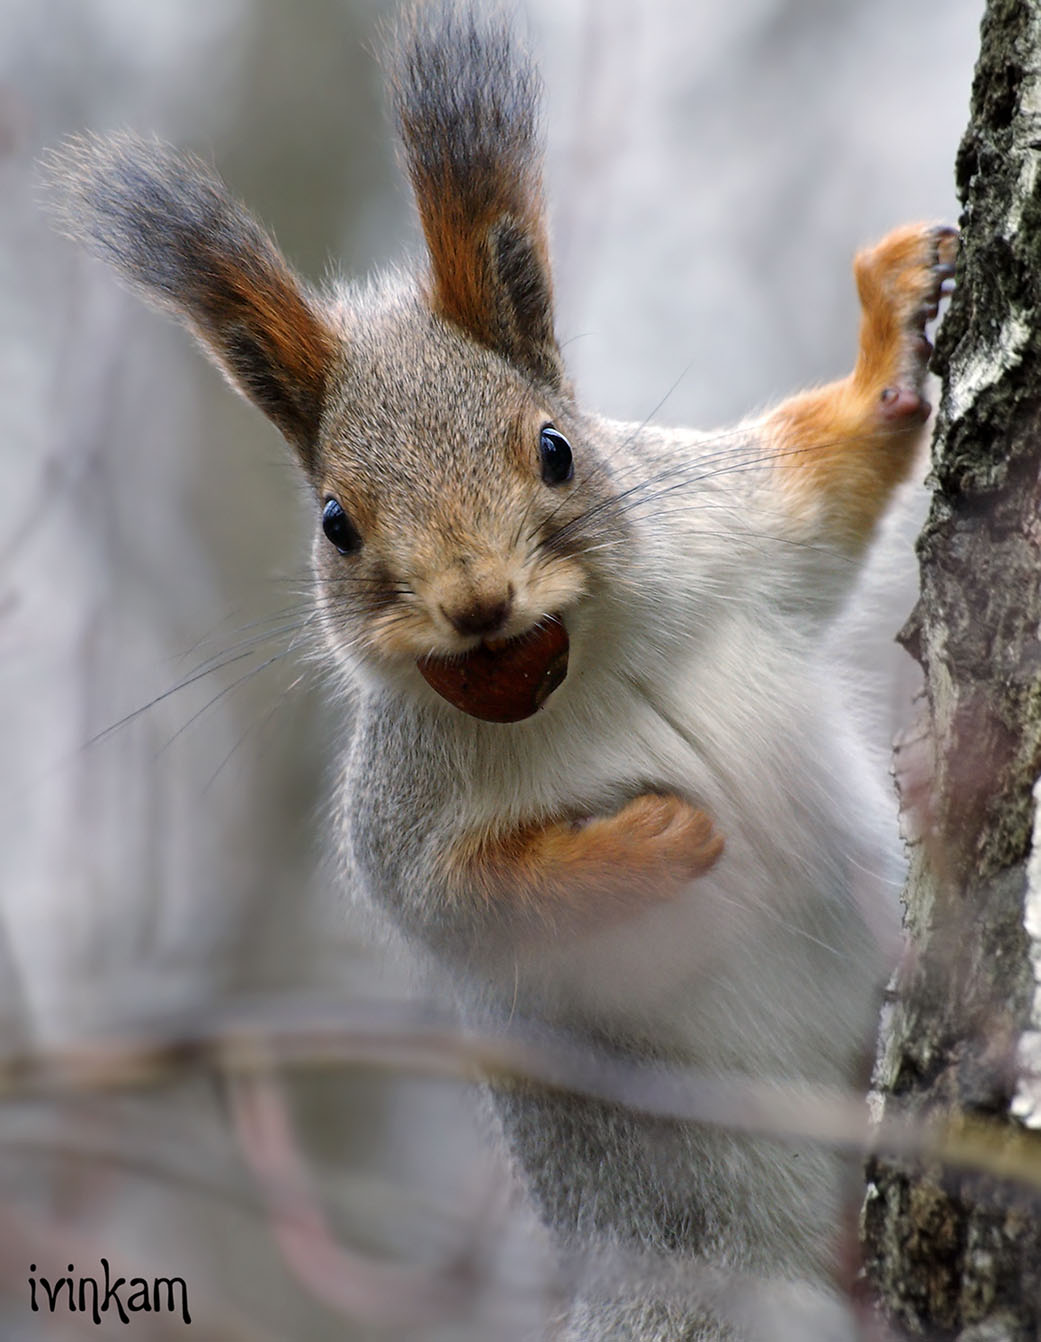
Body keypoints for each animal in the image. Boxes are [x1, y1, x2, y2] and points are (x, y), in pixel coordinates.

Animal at [44, 2, 955, 1342]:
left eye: (557, 448)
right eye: (336, 522)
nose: (477, 602)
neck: (583, 666)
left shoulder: (731, 534)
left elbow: (828, 481)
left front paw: (894, 317)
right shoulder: (400, 817)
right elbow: (465, 899)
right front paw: (658, 838)